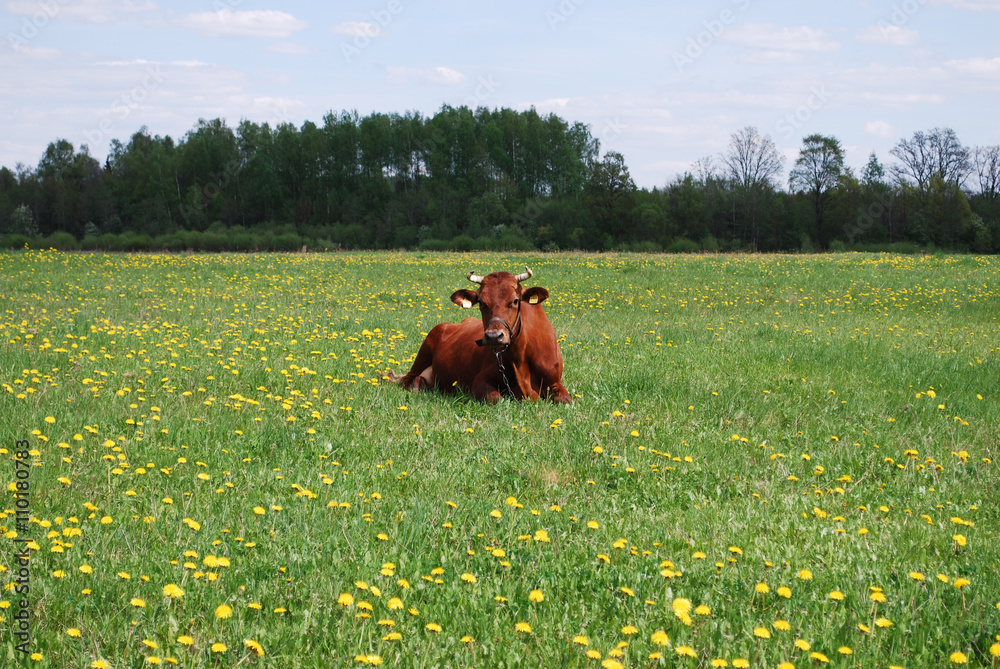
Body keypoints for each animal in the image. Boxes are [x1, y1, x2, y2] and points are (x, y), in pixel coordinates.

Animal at [384, 266, 572, 404]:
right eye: (481, 302)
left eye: (515, 300)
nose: (494, 336)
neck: (521, 359)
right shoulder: (480, 381)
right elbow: (497, 399)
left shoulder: (555, 382)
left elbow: (566, 400)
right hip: (424, 351)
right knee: (407, 380)